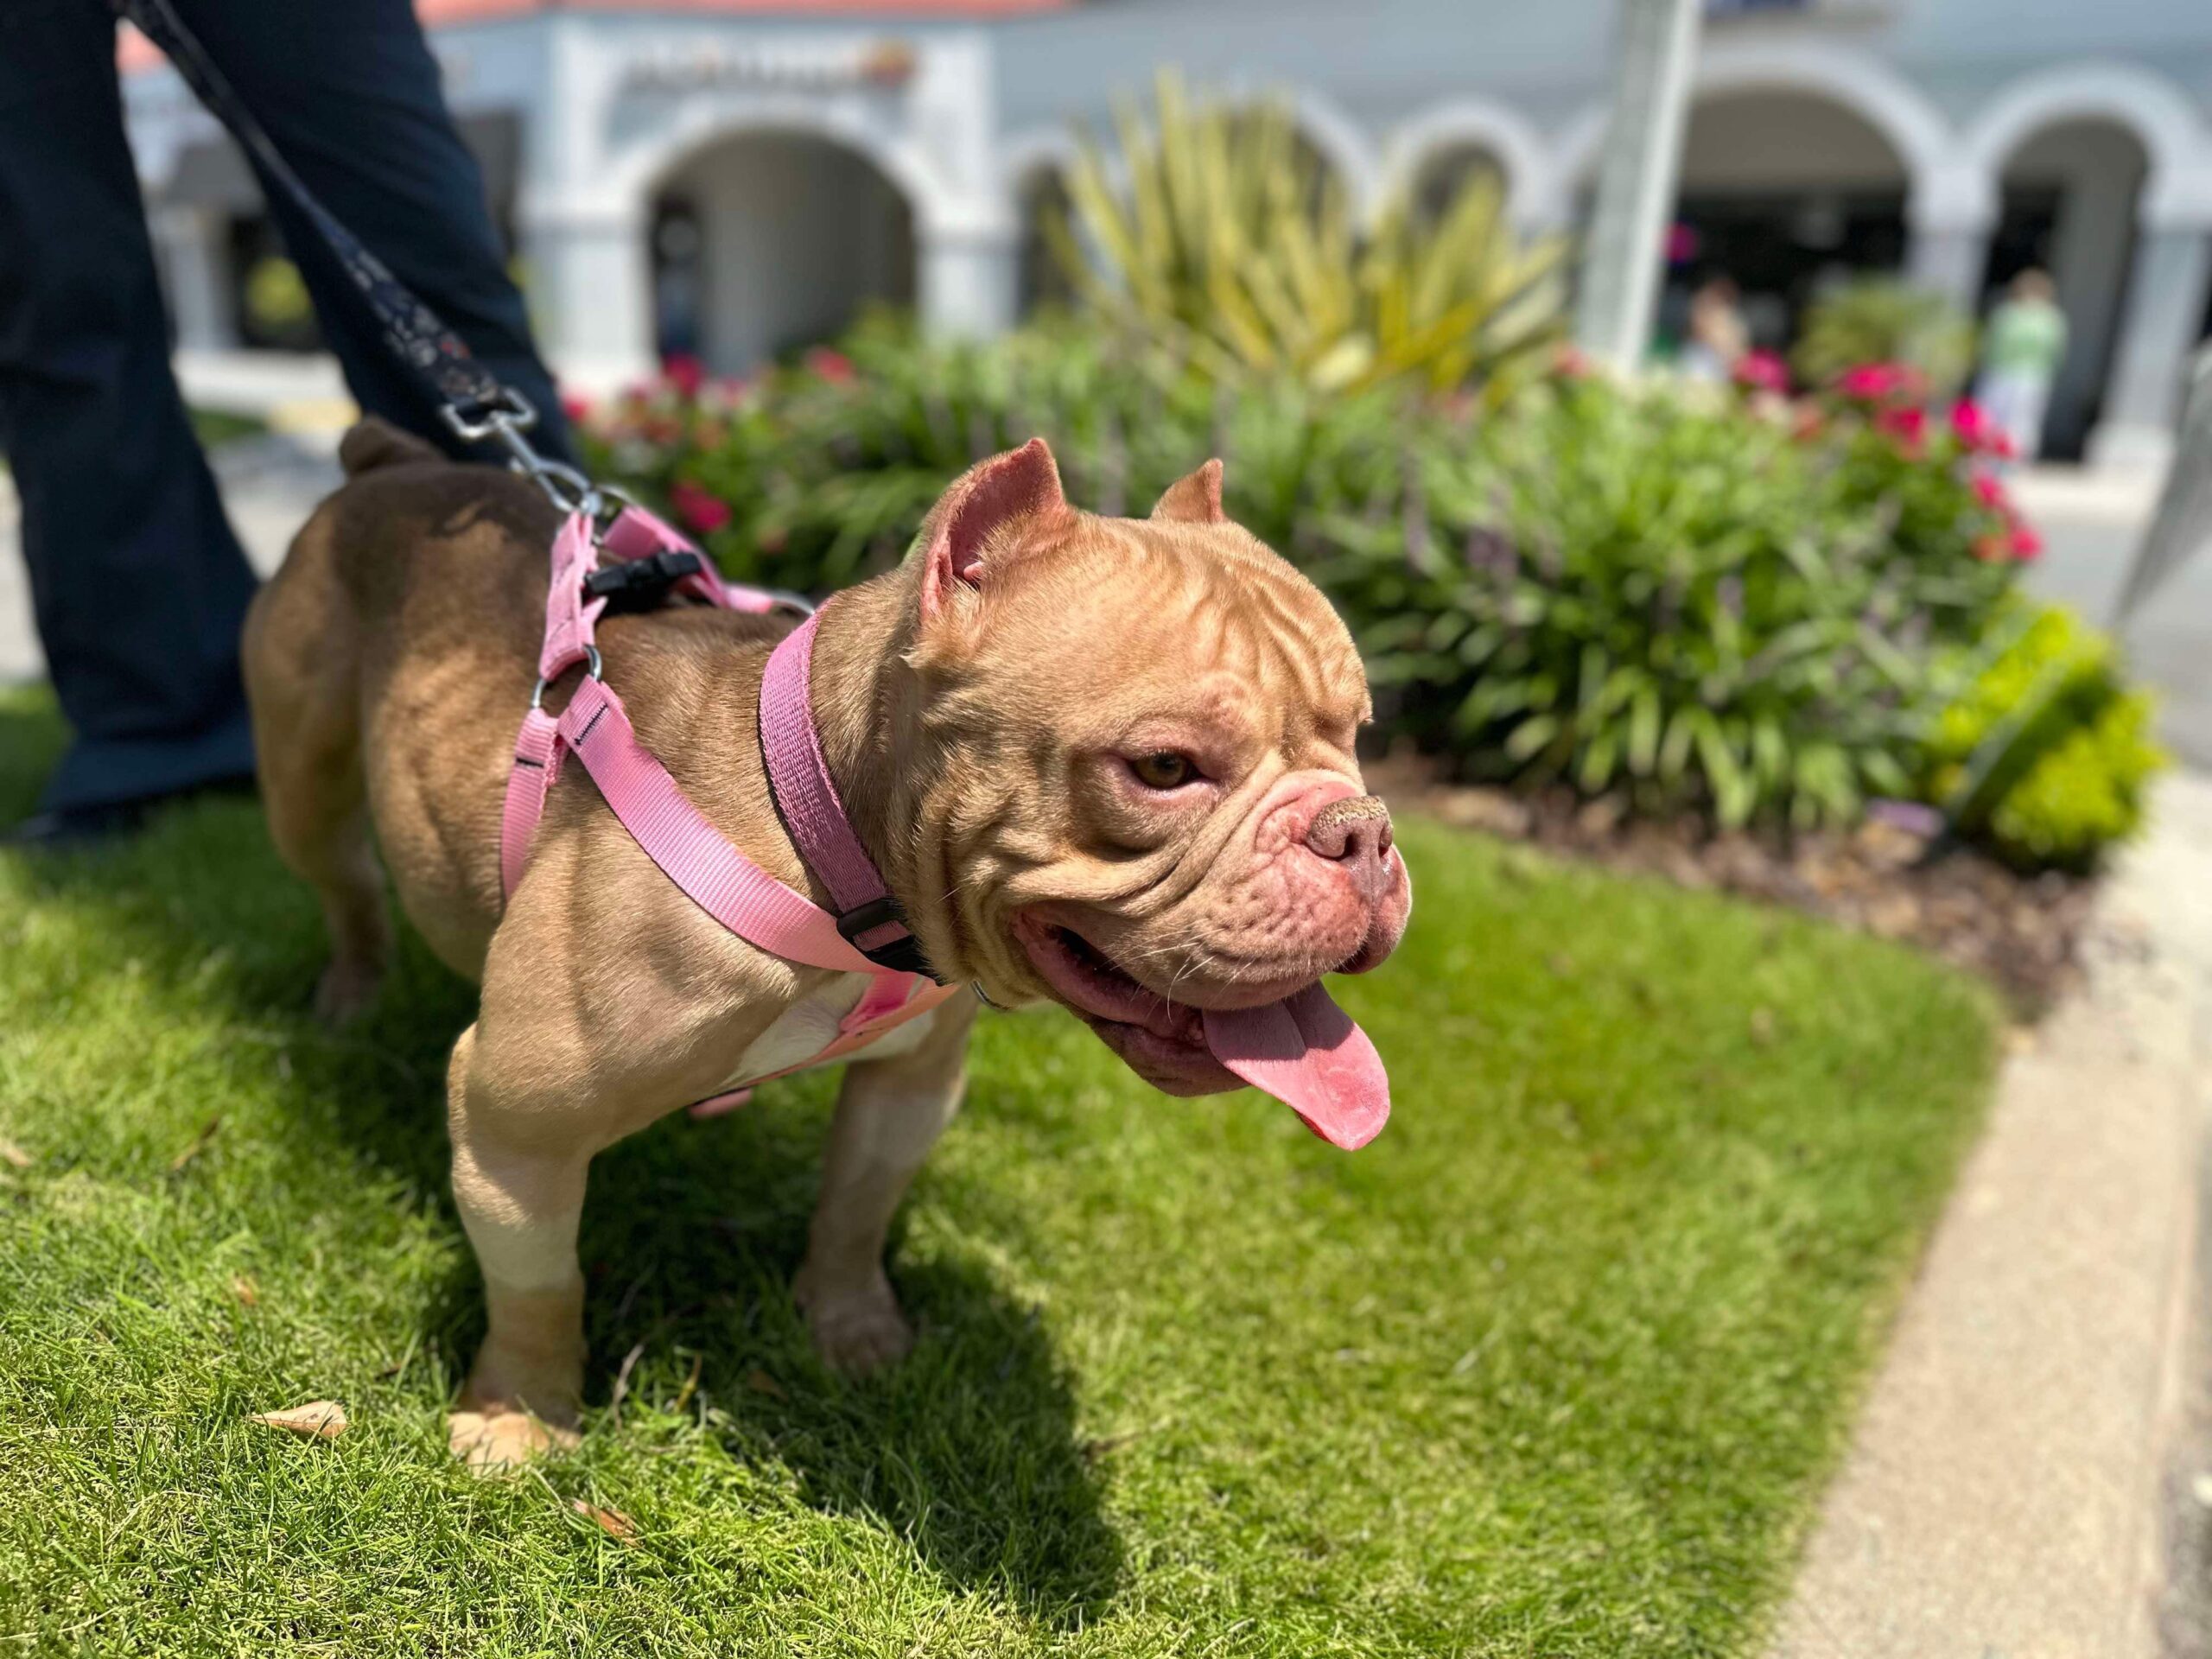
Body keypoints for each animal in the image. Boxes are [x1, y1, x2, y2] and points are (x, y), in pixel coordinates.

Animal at [242, 423, 1411, 1468]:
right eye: (1164, 769)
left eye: (1357, 734)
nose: (1360, 830)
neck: (824, 837)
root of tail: (394, 463)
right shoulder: (518, 1122)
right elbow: (539, 1284)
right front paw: (521, 1417)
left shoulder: (910, 1080)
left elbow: (858, 1203)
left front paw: (851, 1330)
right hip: (305, 781)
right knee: (343, 882)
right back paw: (350, 995)